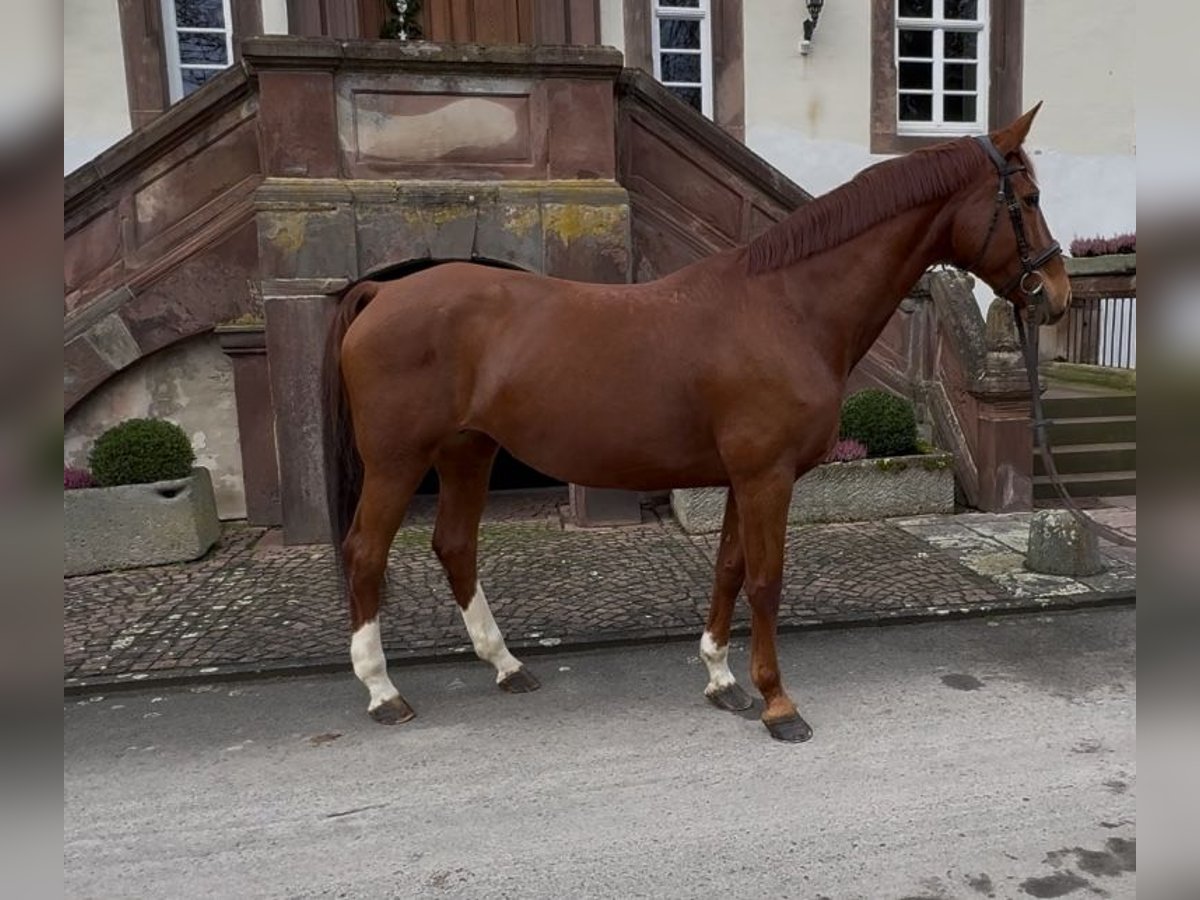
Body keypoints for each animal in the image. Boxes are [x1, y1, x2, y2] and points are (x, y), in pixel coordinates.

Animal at [319, 107, 1070, 739]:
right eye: (1029, 201)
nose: (1057, 293)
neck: (787, 306)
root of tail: (383, 290)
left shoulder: (743, 477)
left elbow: (730, 569)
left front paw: (722, 680)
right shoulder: (767, 477)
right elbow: (765, 581)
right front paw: (778, 703)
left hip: (467, 451)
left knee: (454, 547)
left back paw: (505, 665)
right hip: (397, 460)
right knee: (367, 552)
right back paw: (383, 692)